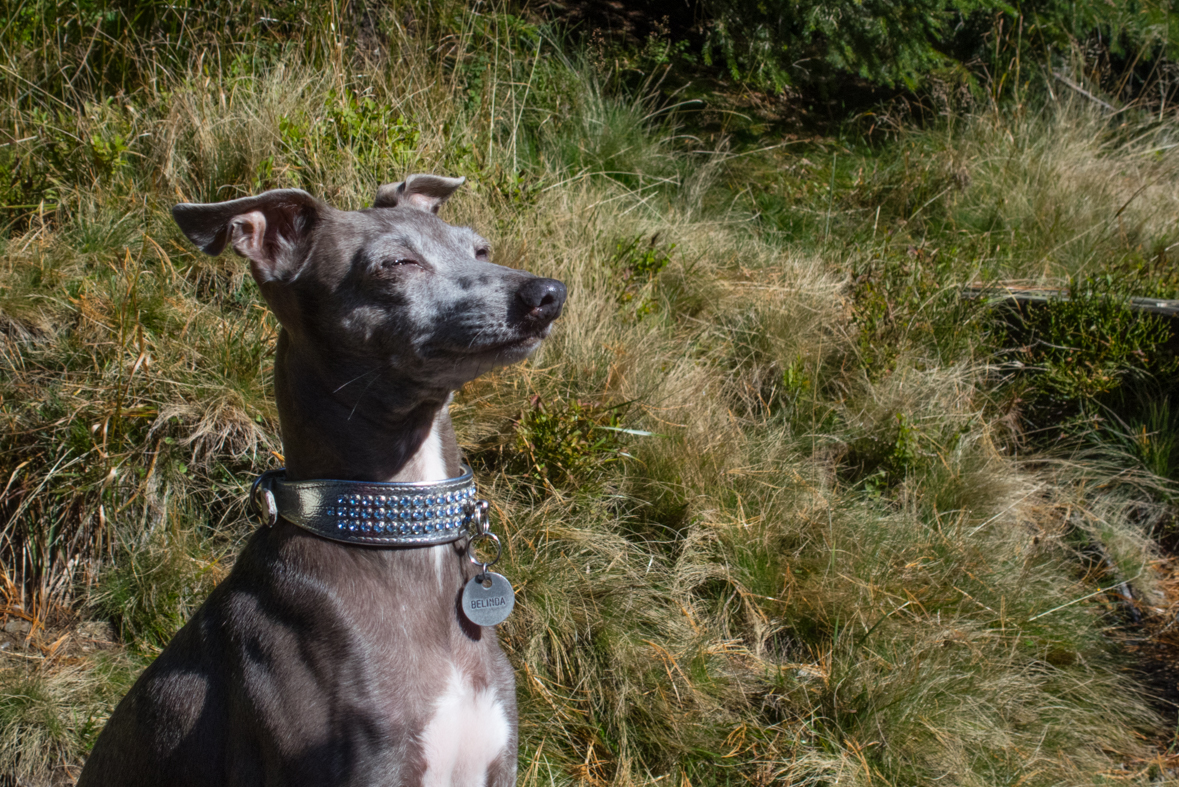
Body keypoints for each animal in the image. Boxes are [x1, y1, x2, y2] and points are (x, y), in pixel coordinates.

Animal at [77, 175, 565, 782]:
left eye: (479, 250)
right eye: (396, 263)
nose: (548, 294)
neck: (393, 535)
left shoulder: (498, 762)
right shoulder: (368, 765)